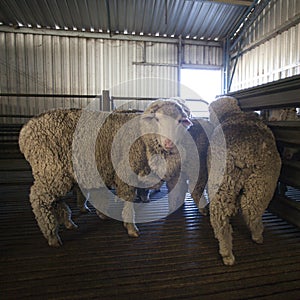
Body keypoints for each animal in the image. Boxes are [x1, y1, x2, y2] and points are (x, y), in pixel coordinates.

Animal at [19, 99, 195, 247]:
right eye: (157, 119)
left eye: (180, 121)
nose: (169, 143)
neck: (142, 136)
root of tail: (26, 130)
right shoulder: (126, 173)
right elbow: (128, 200)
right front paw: (131, 227)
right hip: (50, 168)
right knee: (39, 199)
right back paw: (52, 235)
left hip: (58, 173)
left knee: (56, 200)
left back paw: (67, 222)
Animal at [207, 96, 280, 264]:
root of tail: (243, 154)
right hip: (262, 182)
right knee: (251, 212)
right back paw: (254, 238)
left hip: (231, 181)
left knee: (226, 216)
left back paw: (228, 251)